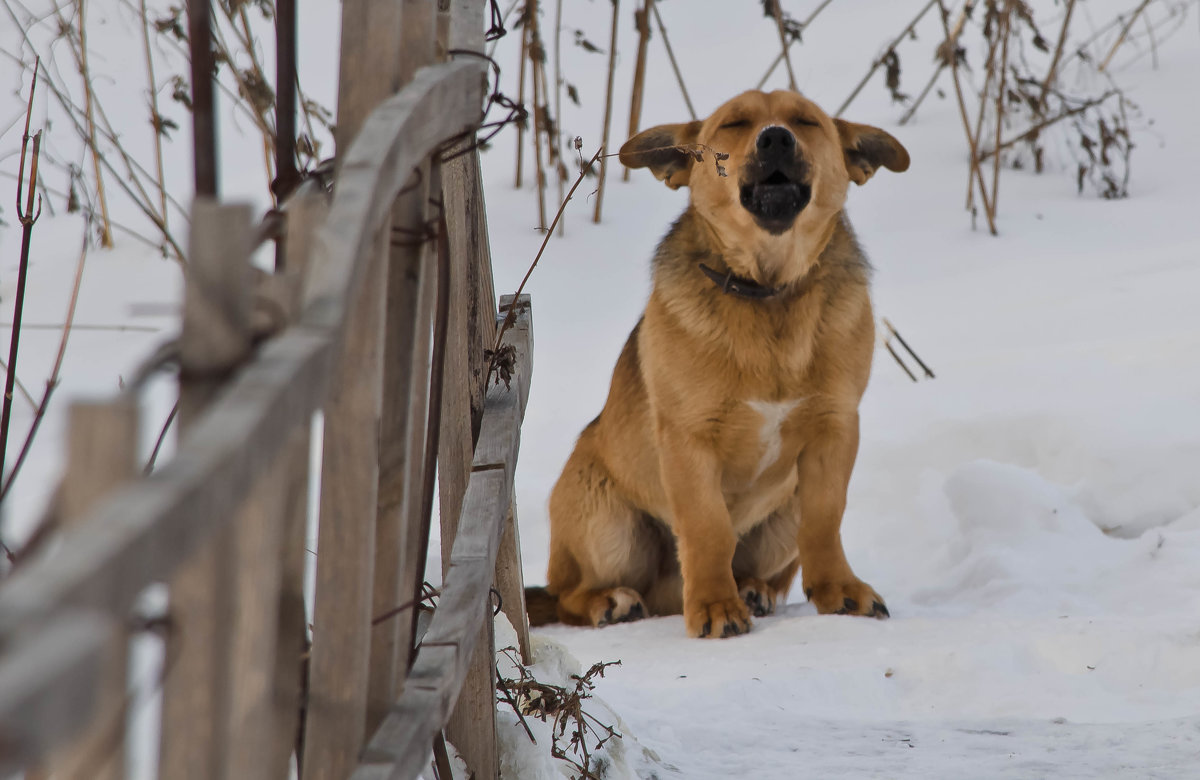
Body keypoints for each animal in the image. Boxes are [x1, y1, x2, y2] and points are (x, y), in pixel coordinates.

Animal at [528, 89, 907, 638]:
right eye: (735, 123)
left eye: (805, 121)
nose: (775, 139)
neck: (768, 293)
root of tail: (664, 595)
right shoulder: (689, 440)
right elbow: (708, 528)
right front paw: (713, 605)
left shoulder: (835, 429)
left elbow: (825, 520)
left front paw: (839, 590)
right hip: (606, 521)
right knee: (566, 597)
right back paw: (612, 602)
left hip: (783, 512)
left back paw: (753, 588)